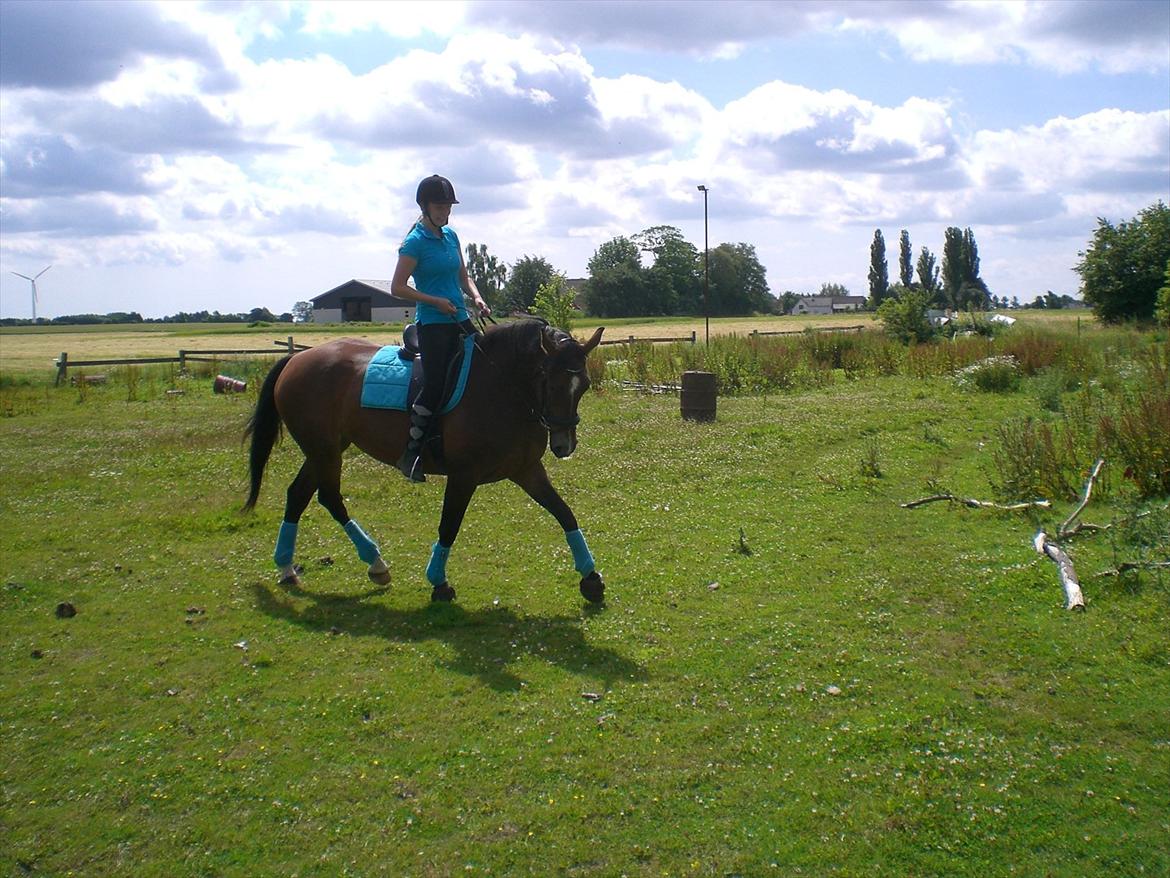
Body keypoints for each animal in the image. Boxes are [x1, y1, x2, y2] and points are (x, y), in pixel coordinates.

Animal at [239, 320, 603, 604]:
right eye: (550, 381)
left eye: (583, 385)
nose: (564, 444)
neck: (503, 386)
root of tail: (297, 358)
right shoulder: (463, 475)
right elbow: (449, 525)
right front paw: (439, 582)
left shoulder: (526, 470)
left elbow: (564, 513)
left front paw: (591, 577)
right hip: (324, 451)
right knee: (328, 497)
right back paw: (374, 563)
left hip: (324, 450)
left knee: (299, 495)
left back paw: (290, 568)